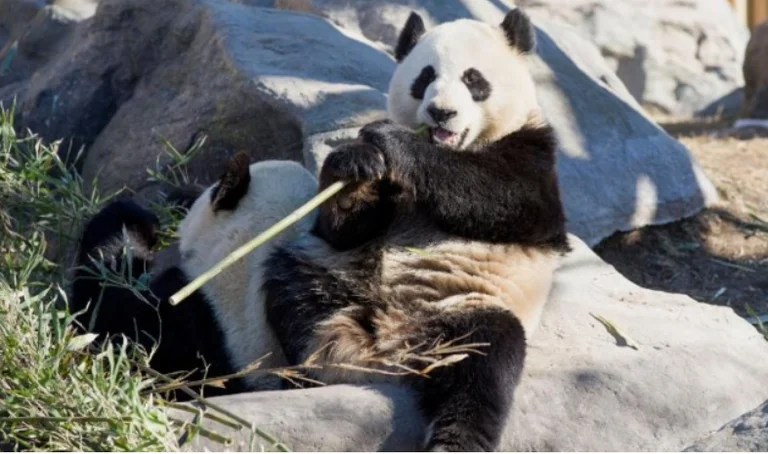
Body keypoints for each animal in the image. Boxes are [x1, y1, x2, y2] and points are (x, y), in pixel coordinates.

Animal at [261, 8, 569, 452]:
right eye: (424, 78)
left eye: (473, 79)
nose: (441, 113)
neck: (457, 144)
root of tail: (391, 345)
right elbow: (346, 231)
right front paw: (354, 164)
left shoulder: (536, 157)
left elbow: (500, 196)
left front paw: (393, 140)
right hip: (334, 277)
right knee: (291, 287)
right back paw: (310, 369)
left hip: (467, 307)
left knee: (485, 363)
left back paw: (455, 439)